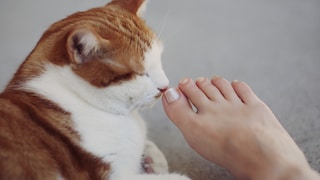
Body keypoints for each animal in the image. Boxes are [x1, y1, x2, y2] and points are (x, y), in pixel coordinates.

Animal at [0, 0, 190, 180]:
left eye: (159, 59)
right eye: (140, 73)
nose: (165, 86)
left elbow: (154, 151)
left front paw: (151, 159)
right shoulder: (114, 175)